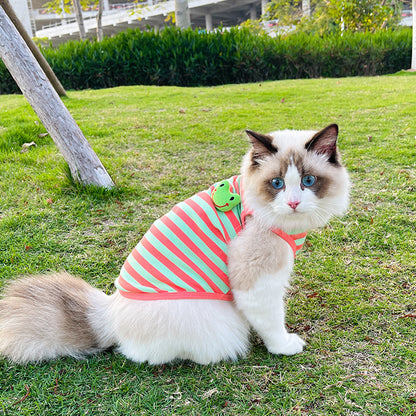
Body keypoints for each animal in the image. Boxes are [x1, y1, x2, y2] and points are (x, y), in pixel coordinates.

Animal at [0, 123, 352, 364]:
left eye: (308, 181)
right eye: (277, 183)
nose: (293, 203)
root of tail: (108, 314)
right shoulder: (257, 282)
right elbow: (272, 322)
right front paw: (284, 347)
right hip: (222, 322)